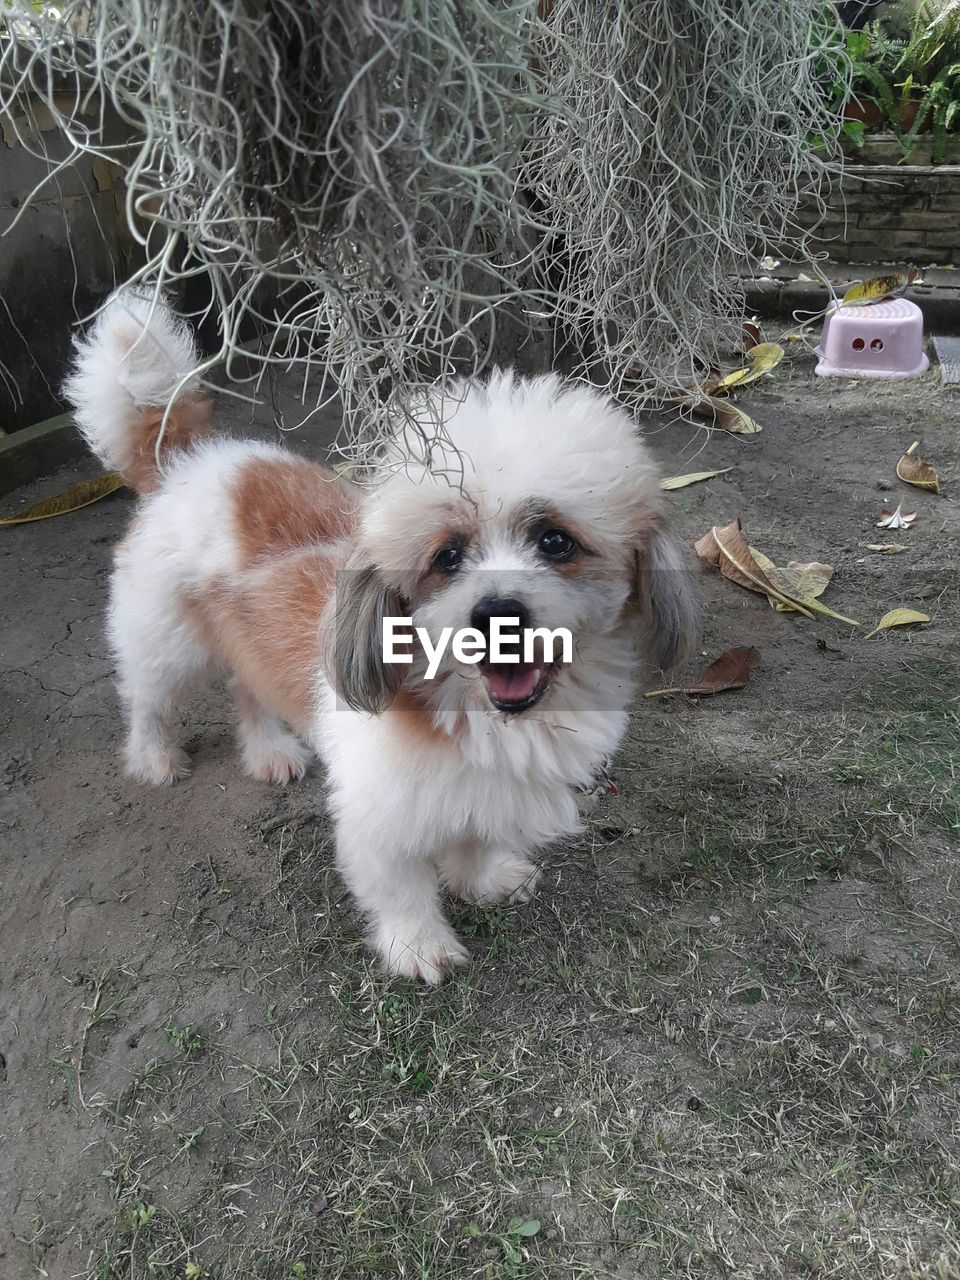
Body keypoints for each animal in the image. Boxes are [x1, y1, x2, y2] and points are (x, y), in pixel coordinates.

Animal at [67, 294, 701, 983]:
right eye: (447, 556)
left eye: (555, 541)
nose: (497, 610)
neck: (466, 709)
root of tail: (190, 460)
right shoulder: (377, 810)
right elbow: (399, 885)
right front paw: (417, 944)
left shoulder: (487, 791)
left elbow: (477, 836)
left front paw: (481, 878)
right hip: (166, 644)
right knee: (148, 700)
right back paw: (154, 757)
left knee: (247, 691)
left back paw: (268, 750)